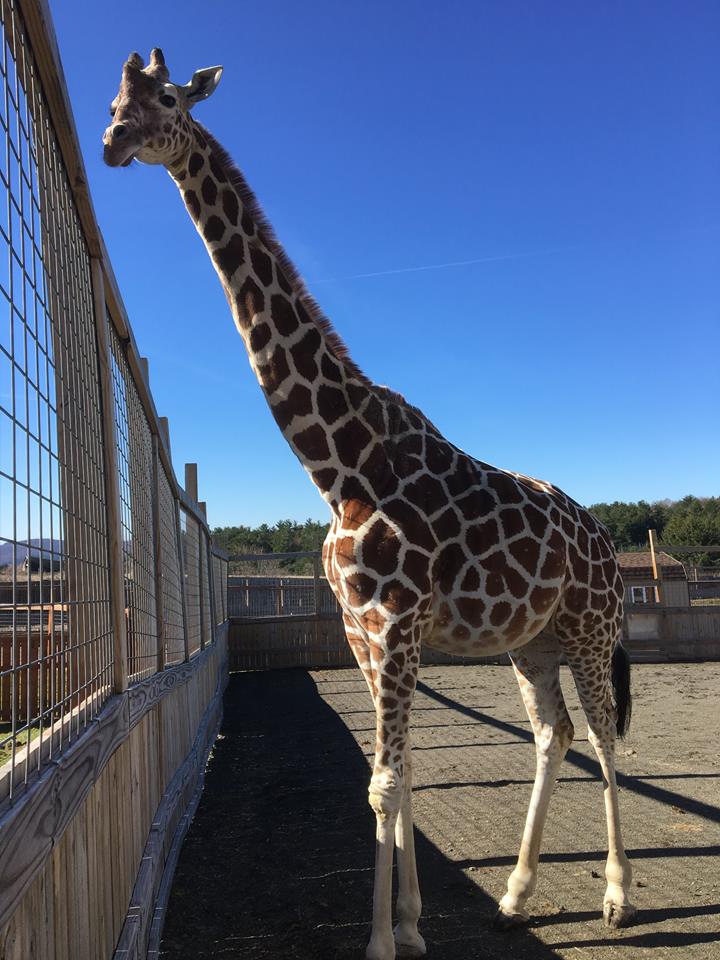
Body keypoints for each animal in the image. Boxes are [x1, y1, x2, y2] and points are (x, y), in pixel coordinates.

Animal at [102, 50, 636, 960]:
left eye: (166, 98)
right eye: (113, 98)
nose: (111, 142)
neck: (340, 463)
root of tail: (601, 538)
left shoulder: (397, 621)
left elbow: (384, 782)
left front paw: (384, 941)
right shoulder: (361, 629)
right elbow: (399, 772)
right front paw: (414, 924)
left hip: (591, 629)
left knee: (602, 734)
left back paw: (615, 896)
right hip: (531, 641)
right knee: (554, 733)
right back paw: (517, 892)